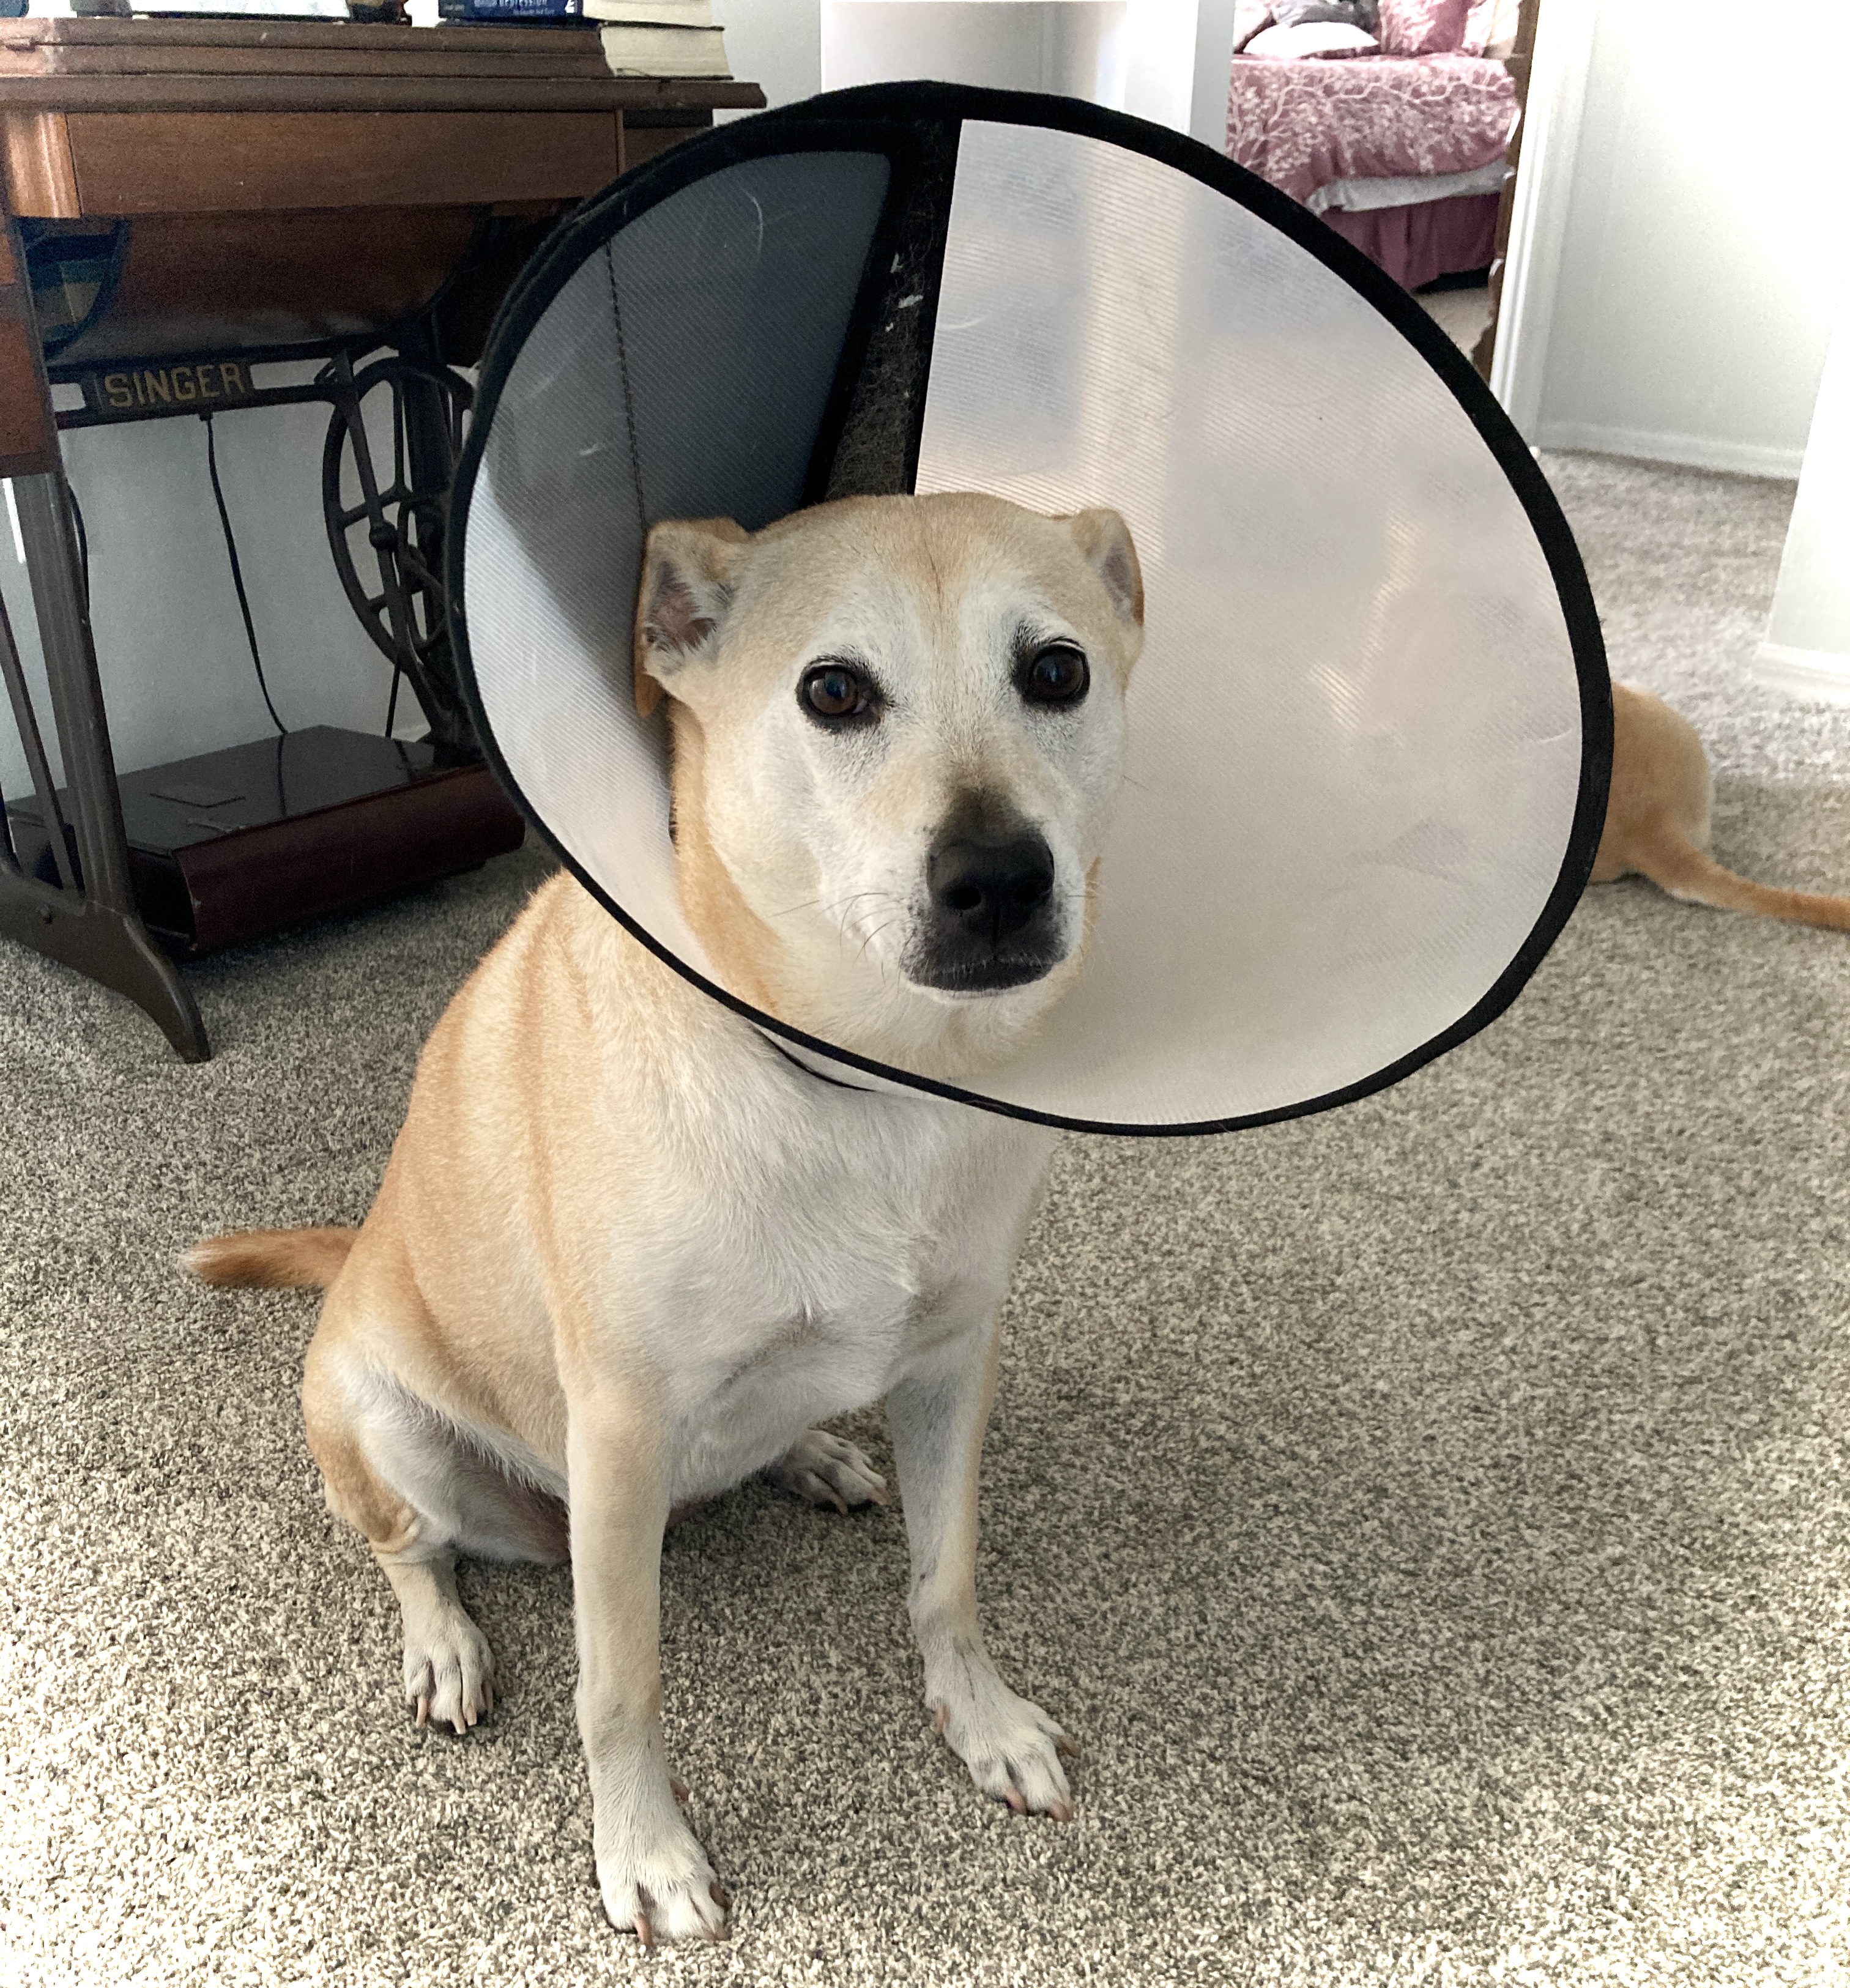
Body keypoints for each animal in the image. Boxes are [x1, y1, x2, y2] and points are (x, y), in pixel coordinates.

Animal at [188, 490, 1145, 1945]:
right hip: (386, 1427)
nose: (997, 880)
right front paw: (646, 1855)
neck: (868, 1084)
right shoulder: (623, 1432)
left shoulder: (948, 1364)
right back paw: (445, 1644)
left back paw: (812, 1453)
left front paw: (978, 1722)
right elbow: (620, 1685)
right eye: (833, 691)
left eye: (1055, 671)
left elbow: (948, 1577)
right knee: (413, 1551)